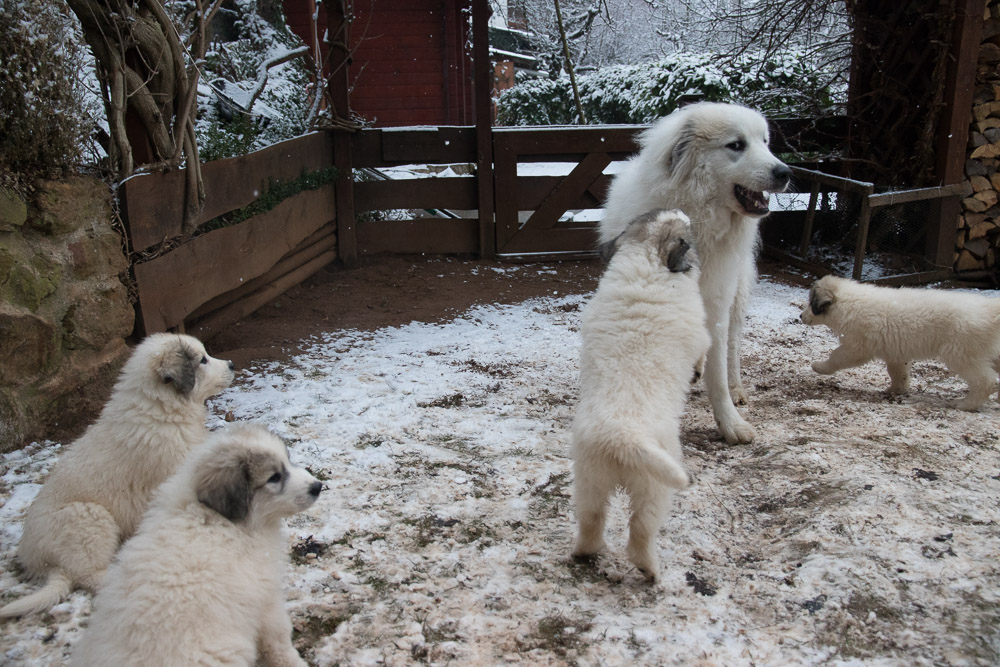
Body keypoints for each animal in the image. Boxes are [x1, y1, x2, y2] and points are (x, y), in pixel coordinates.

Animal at [0, 334, 235, 620]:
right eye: (202, 360)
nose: (232, 364)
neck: (161, 411)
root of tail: (46, 564)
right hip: (89, 517)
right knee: (87, 575)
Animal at [73, 422, 322, 667]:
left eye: (288, 460)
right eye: (274, 477)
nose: (317, 486)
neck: (216, 517)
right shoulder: (267, 596)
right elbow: (278, 638)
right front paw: (293, 661)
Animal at [572, 209, 712, 580]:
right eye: (686, 235)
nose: (681, 211)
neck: (647, 256)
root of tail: (621, 436)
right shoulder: (701, 335)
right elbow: (704, 350)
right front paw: (698, 372)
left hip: (589, 479)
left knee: (591, 519)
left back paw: (584, 552)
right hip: (654, 487)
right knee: (641, 529)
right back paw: (651, 570)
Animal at [800, 274, 1000, 410]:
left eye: (811, 303)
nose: (800, 316)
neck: (848, 303)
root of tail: (990, 309)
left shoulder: (857, 347)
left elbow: (837, 356)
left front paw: (820, 367)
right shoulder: (895, 351)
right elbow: (897, 372)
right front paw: (897, 389)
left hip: (960, 352)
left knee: (985, 381)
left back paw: (965, 404)